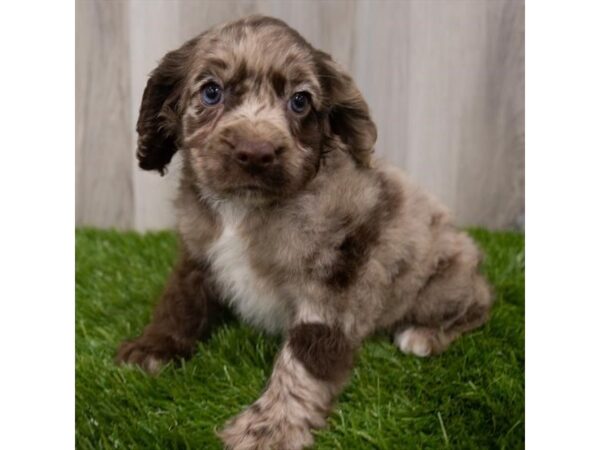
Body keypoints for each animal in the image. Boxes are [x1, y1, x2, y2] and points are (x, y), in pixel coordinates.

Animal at [116, 15, 492, 450]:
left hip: (441, 284)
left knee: (481, 302)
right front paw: (152, 347)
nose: (255, 153)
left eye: (300, 101)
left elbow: (304, 358)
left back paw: (425, 335)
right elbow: (180, 301)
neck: (243, 209)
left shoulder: (334, 280)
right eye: (211, 92)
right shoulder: (198, 250)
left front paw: (270, 427)